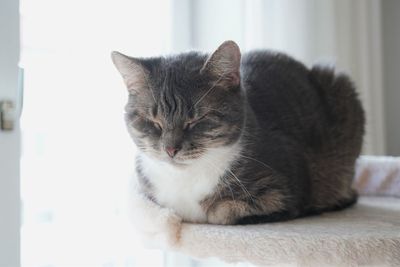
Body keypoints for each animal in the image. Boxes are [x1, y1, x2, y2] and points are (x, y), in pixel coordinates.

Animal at [111, 40, 364, 225]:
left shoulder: (282, 190)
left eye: (197, 120)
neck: (185, 178)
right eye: (153, 122)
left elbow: (220, 212)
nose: (171, 149)